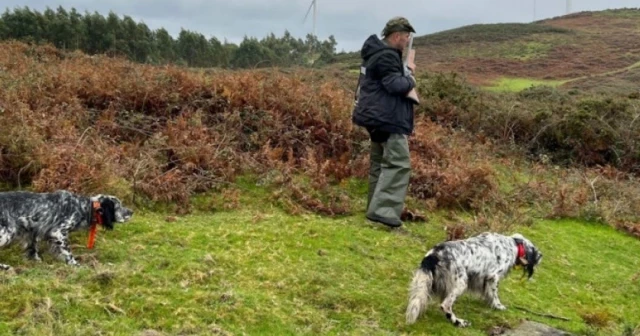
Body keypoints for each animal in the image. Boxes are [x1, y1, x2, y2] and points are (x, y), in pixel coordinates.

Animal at [0, 189, 132, 270]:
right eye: (119, 206)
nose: (132, 212)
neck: (84, 207)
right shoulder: (58, 232)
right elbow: (68, 252)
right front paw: (75, 264)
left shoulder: (32, 232)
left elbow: (32, 250)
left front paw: (38, 263)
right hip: (7, 232)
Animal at [404, 232, 540, 326]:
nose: (541, 258)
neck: (514, 244)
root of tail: (434, 255)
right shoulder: (493, 277)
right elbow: (495, 295)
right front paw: (498, 306)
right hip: (461, 283)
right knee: (445, 305)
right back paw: (459, 322)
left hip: (427, 283)